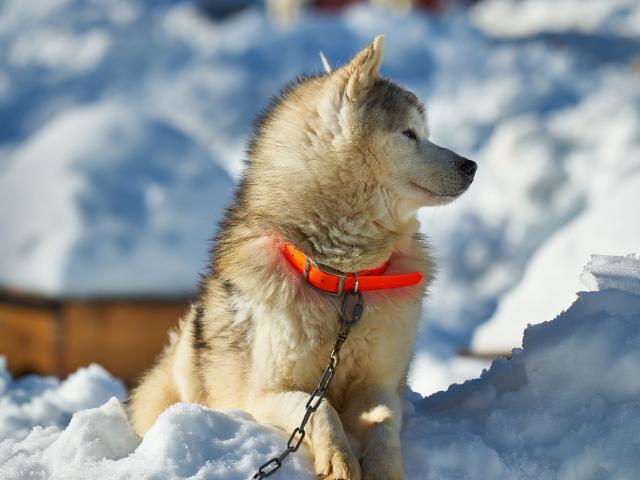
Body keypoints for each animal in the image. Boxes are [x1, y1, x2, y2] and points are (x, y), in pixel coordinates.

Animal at [130, 35, 478, 478]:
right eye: (409, 133)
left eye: (425, 132)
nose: (471, 165)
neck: (346, 280)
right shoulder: (266, 393)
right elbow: (320, 407)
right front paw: (339, 458)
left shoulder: (381, 385)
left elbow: (383, 421)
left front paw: (383, 466)